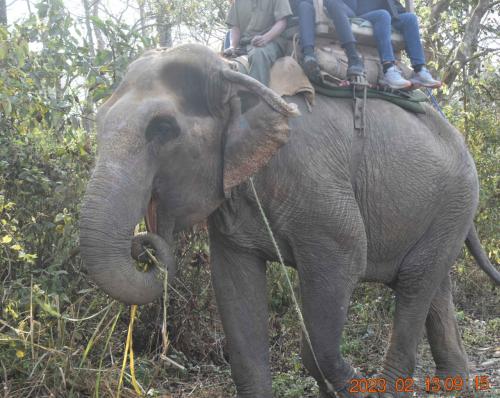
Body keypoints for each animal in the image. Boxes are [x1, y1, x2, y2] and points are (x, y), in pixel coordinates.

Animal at [80, 43, 498, 398]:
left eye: (162, 129)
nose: (143, 244)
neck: (235, 70)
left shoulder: (316, 181)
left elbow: (347, 258)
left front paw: (351, 385)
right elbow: (234, 287)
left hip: (457, 199)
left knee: (414, 283)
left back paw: (390, 388)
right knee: (432, 284)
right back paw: (456, 386)